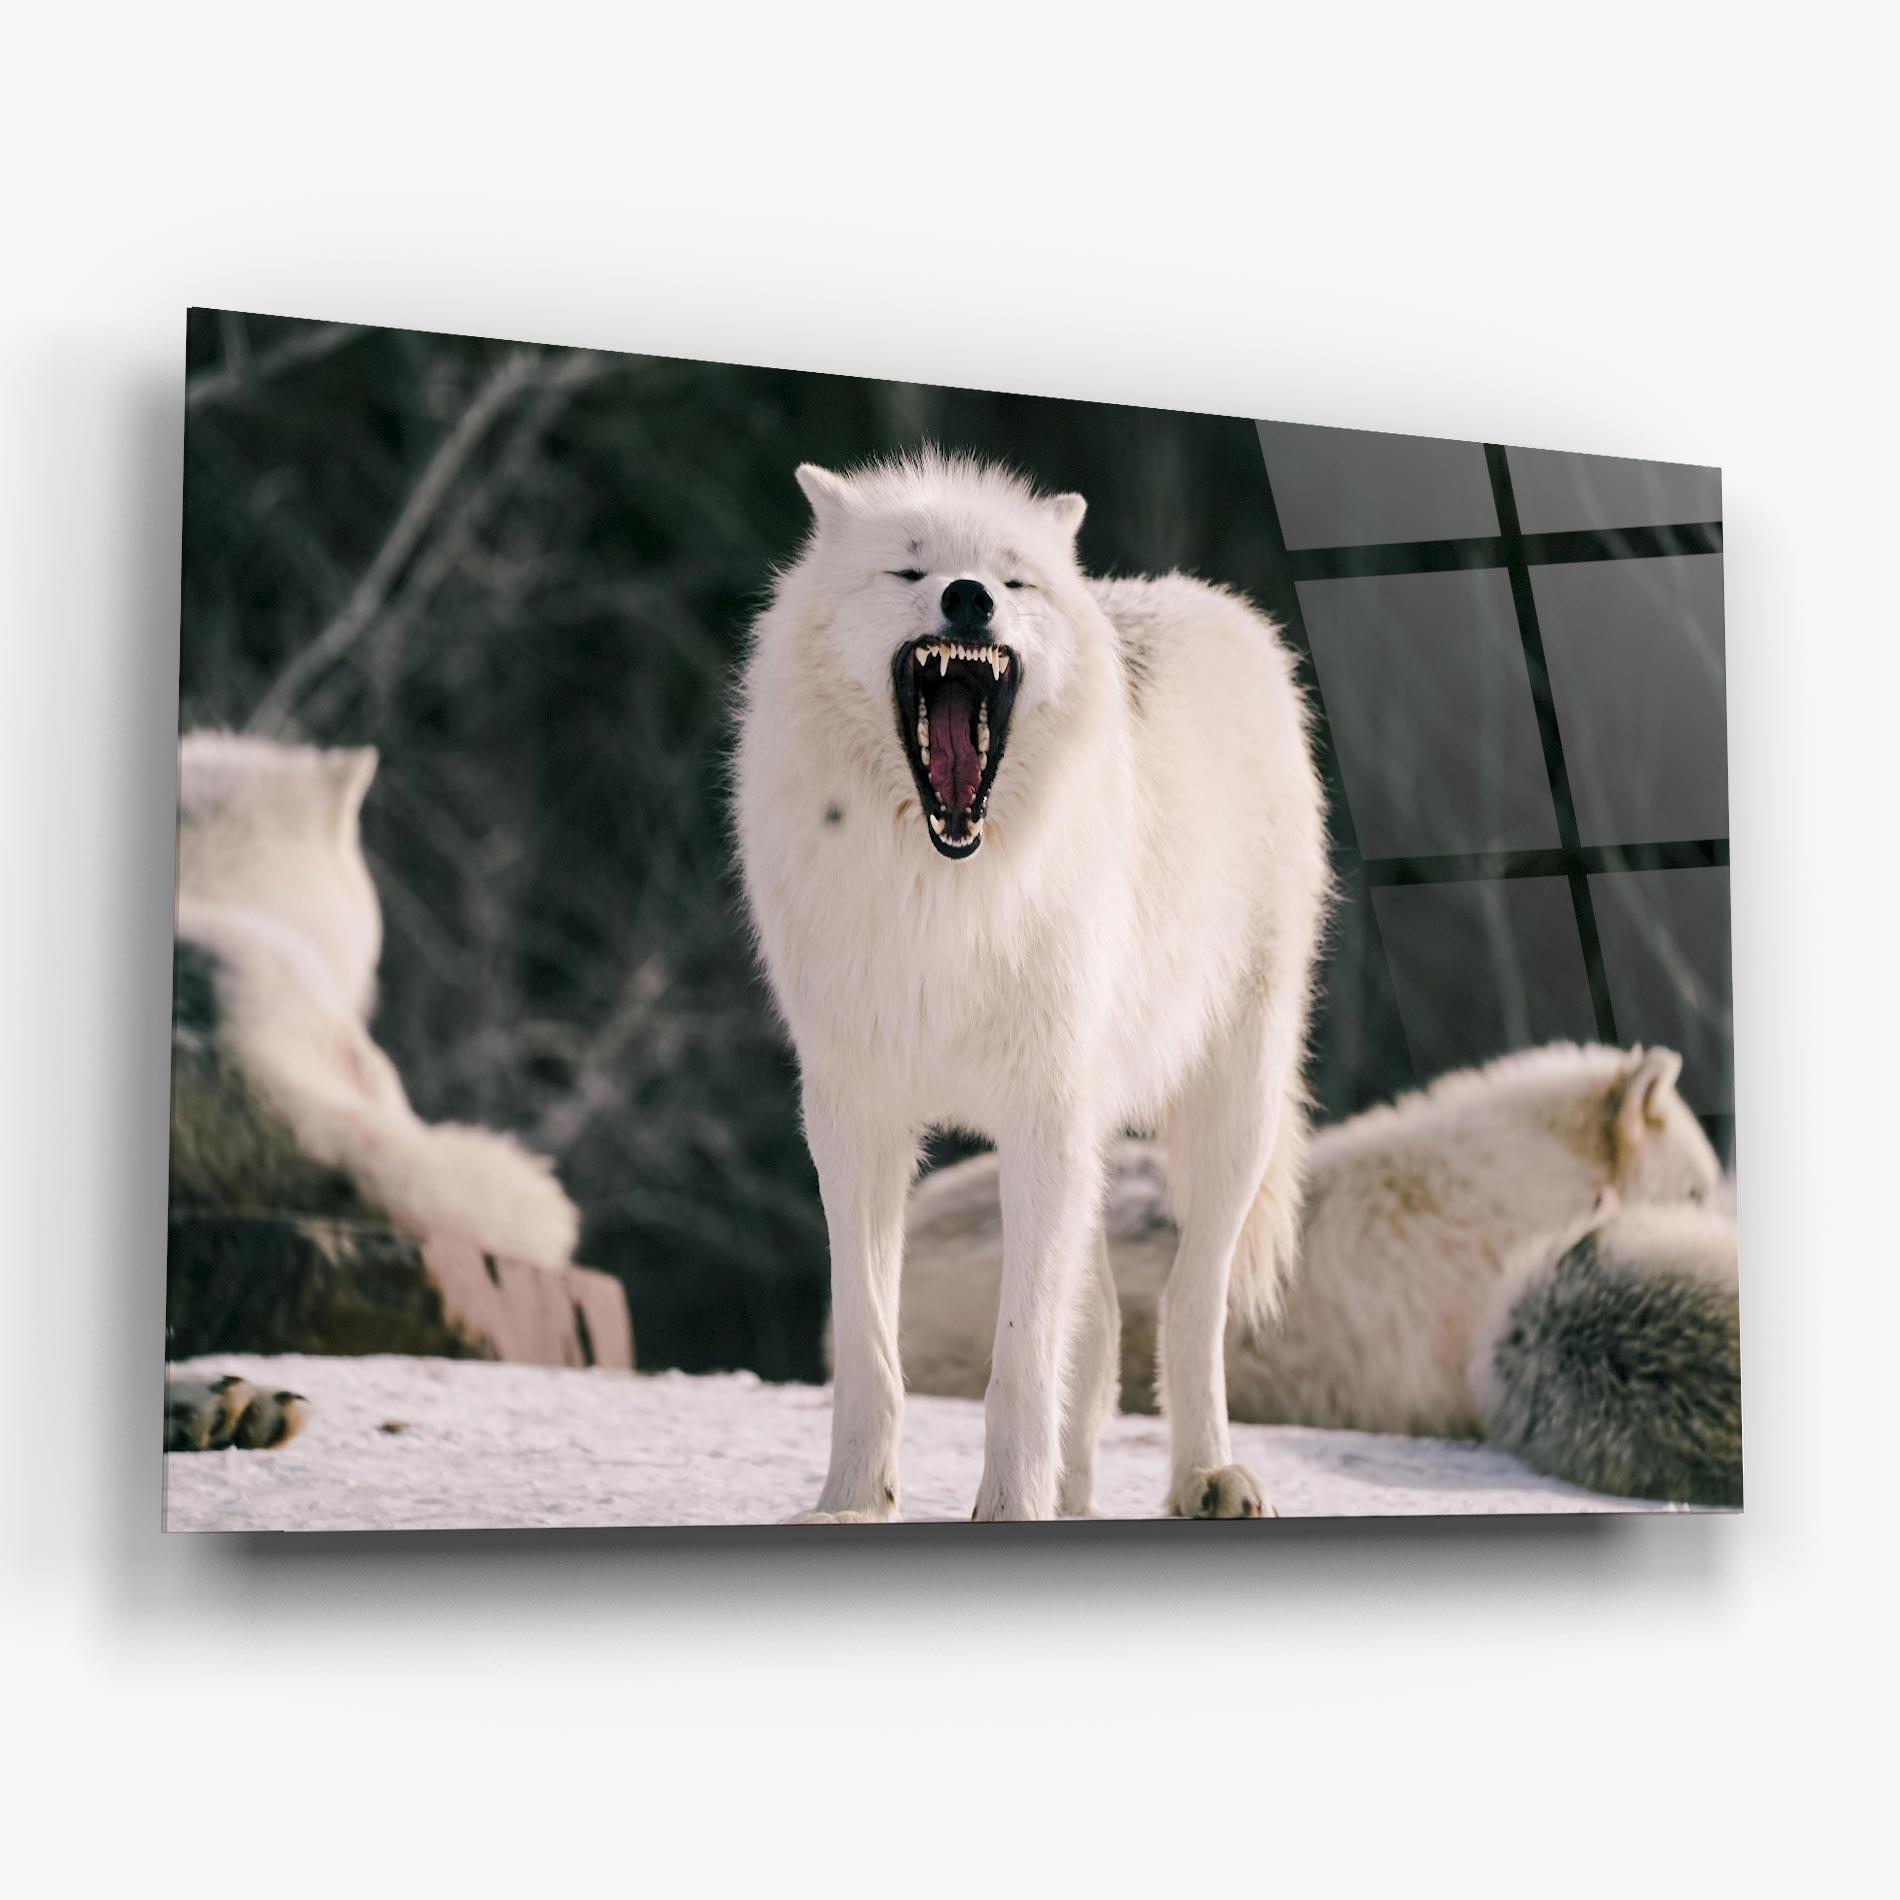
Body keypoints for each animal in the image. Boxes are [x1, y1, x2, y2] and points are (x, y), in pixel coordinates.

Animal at [734, 451, 1328, 1521]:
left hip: (1231, 1109)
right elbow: (869, 1345)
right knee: (1098, 1330)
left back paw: (1207, 1476)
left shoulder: (1040, 1116)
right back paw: (1078, 1498)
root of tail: (1214, 607)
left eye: (1013, 581)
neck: (945, 892)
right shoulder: (854, 1119)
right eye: (909, 569)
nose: (969, 599)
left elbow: (1019, 1359)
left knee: (1188, 1302)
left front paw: (1009, 1506)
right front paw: (852, 1500)